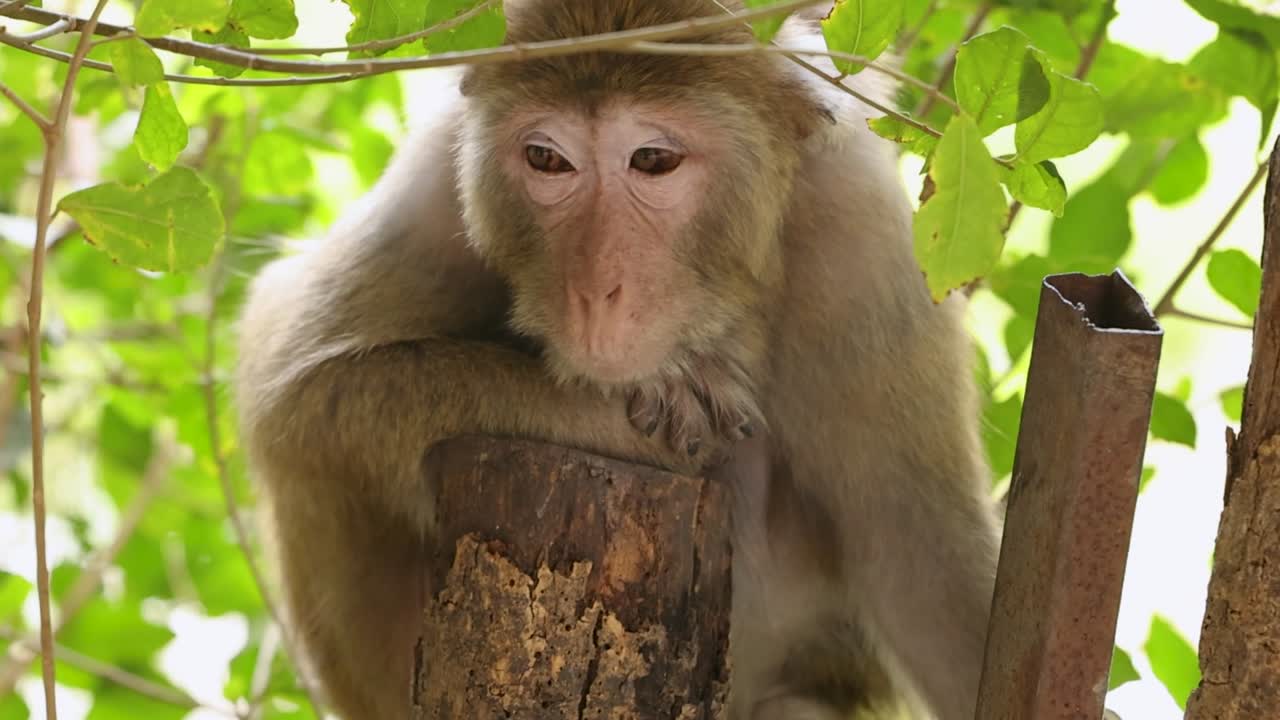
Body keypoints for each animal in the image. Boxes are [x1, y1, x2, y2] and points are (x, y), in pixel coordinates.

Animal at [234, 2, 1003, 719]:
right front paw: (658, 410)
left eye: (653, 160)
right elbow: (295, 392)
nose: (595, 289)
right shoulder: (436, 183)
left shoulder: (869, 245)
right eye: (547, 159)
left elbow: (928, 578)